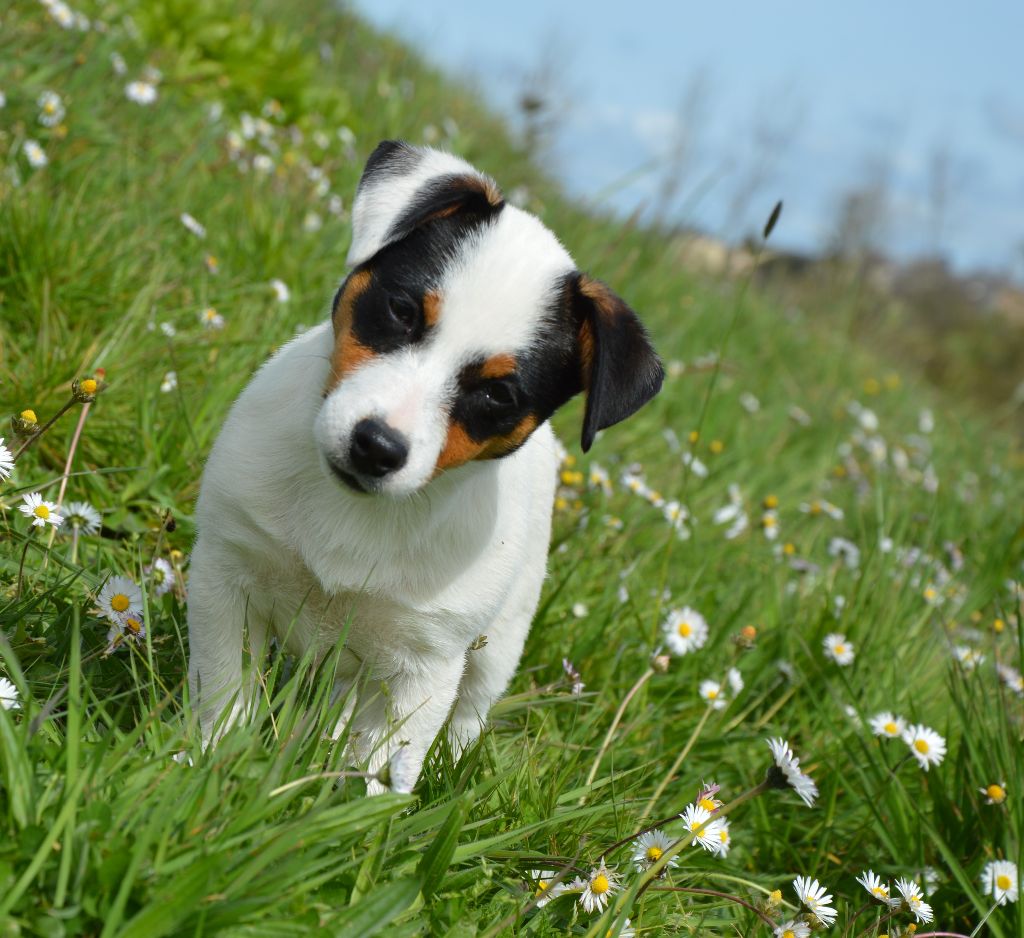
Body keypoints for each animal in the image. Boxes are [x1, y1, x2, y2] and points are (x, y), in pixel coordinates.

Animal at [186, 141, 663, 790]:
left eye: (498, 394)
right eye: (402, 310)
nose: (376, 446)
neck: (355, 509)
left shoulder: (427, 666)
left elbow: (382, 762)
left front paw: (348, 805)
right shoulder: (226, 575)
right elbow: (224, 689)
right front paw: (203, 763)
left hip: (499, 642)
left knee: (469, 711)